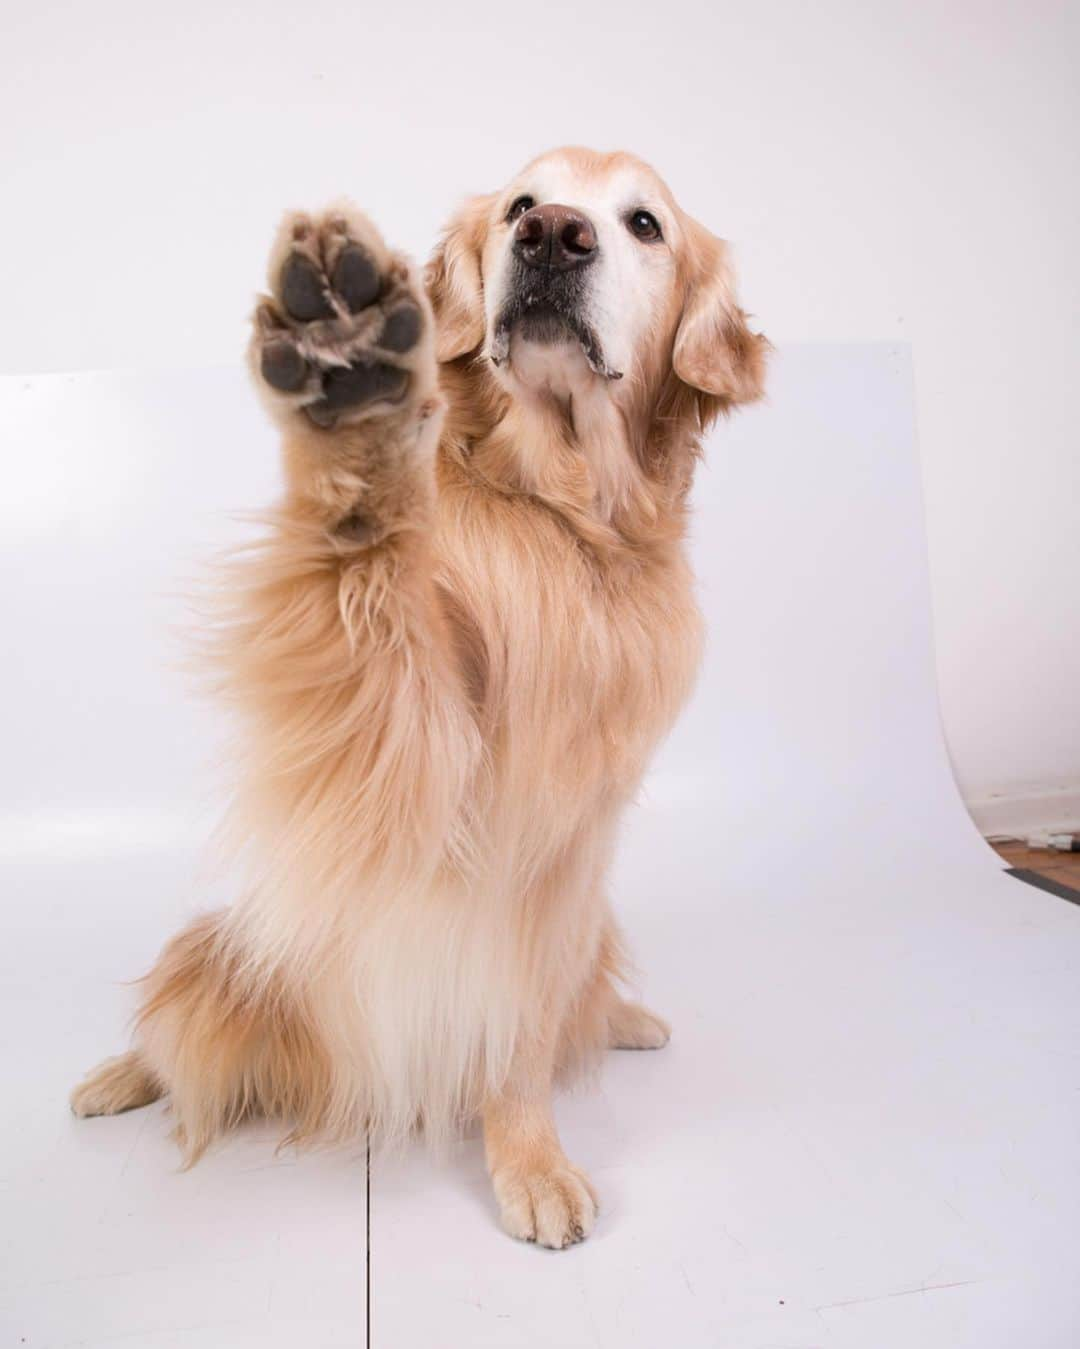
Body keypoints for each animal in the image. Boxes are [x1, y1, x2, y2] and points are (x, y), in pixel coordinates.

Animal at [69, 145, 765, 1241]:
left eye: (644, 224)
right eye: (524, 202)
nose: (554, 236)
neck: (560, 516)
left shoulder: (554, 868)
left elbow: (524, 1033)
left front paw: (529, 1158)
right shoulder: (405, 735)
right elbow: (363, 559)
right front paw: (351, 395)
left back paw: (625, 1018)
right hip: (242, 956)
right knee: (183, 1021)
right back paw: (116, 1072)